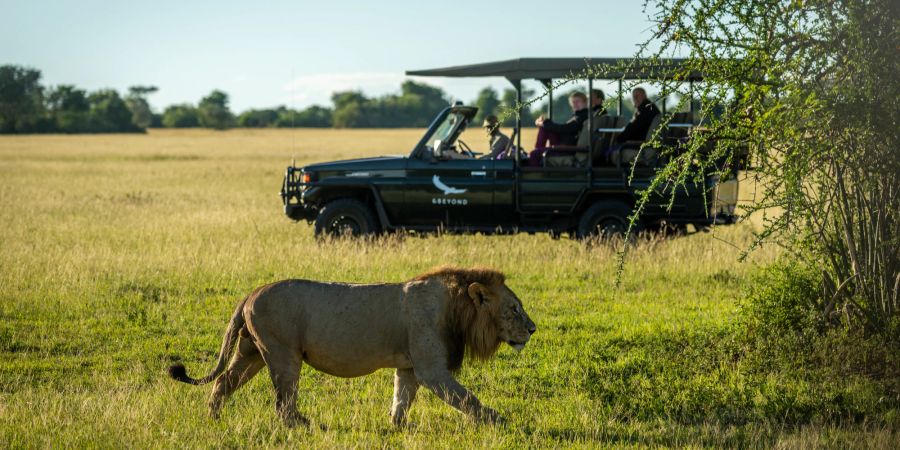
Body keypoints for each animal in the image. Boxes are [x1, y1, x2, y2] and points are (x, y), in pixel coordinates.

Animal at [167, 266, 536, 428]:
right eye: (515, 309)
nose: (533, 329)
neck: (456, 307)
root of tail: (251, 293)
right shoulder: (432, 369)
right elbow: (468, 398)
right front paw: (499, 421)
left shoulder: (409, 366)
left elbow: (402, 397)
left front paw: (397, 427)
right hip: (283, 354)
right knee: (283, 402)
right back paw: (302, 425)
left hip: (251, 352)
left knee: (222, 382)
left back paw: (213, 418)